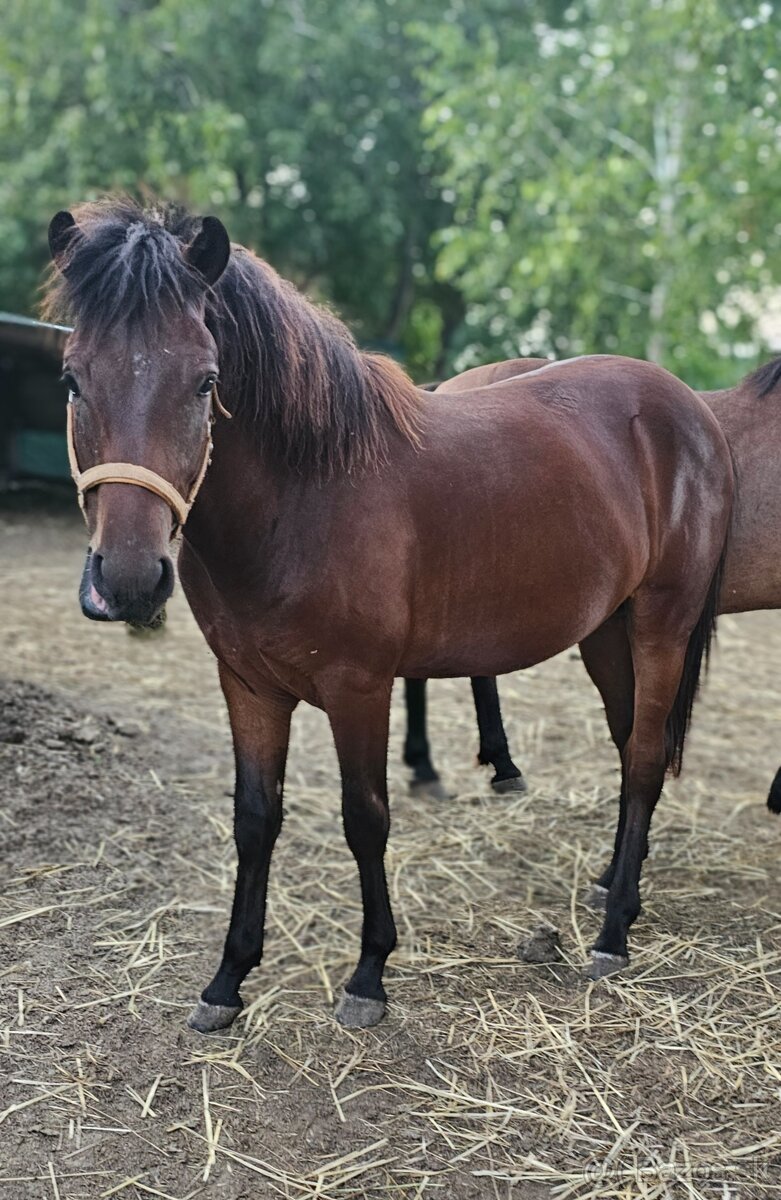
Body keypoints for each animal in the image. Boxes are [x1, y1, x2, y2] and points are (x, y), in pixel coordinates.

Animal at [47, 199, 734, 1032]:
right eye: (73, 379)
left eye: (205, 382)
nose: (128, 578)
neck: (305, 495)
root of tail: (691, 412)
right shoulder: (247, 685)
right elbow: (255, 819)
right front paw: (227, 981)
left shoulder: (360, 688)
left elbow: (364, 817)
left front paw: (369, 974)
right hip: (608, 632)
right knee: (632, 745)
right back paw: (612, 887)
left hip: (661, 625)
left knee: (640, 756)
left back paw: (611, 934)